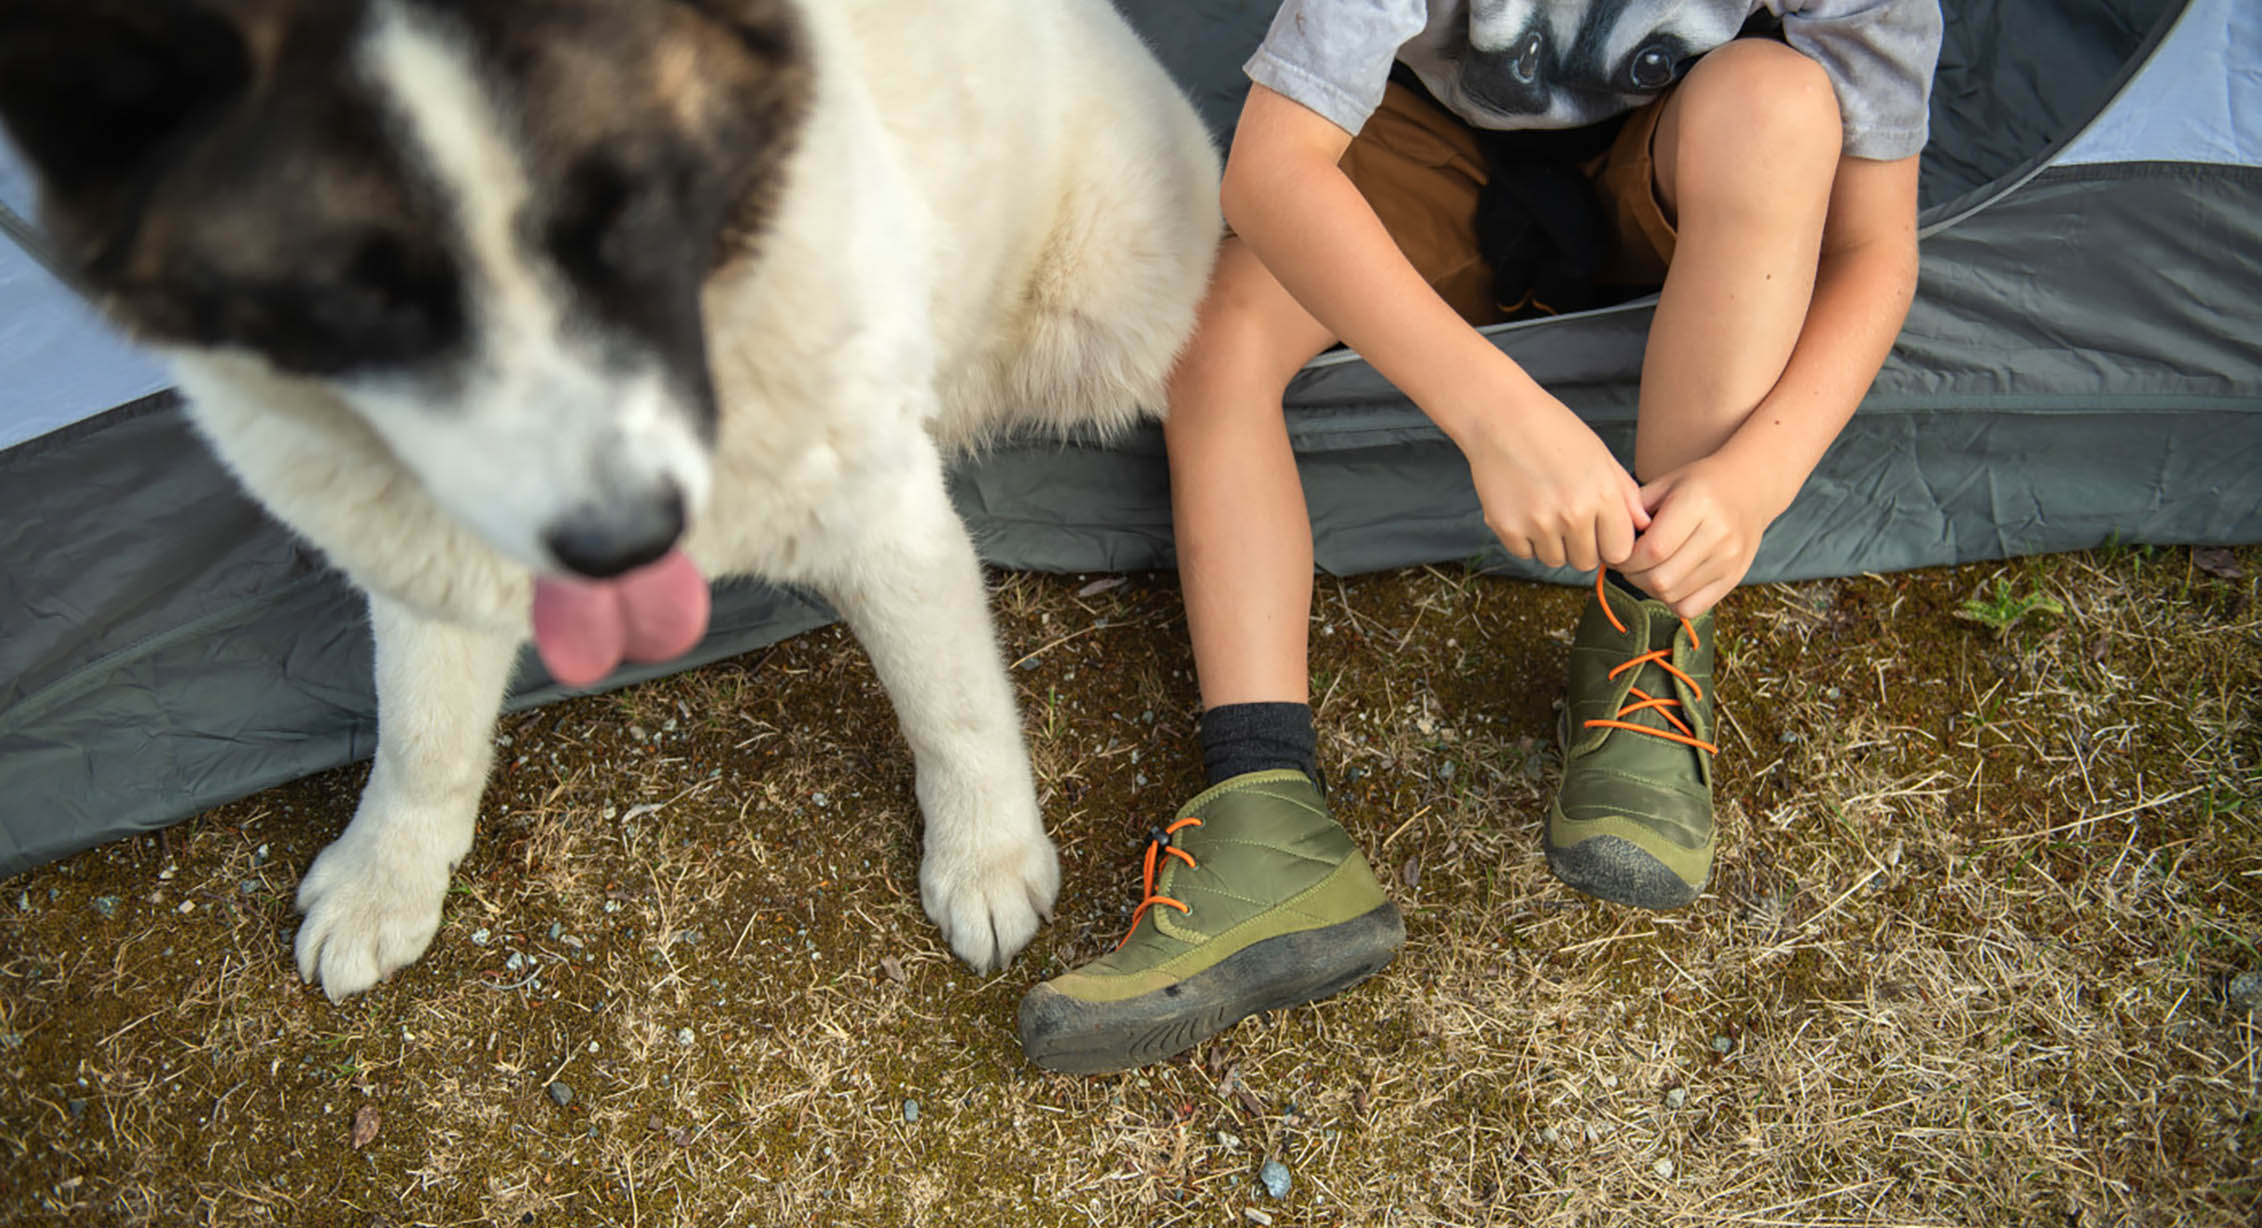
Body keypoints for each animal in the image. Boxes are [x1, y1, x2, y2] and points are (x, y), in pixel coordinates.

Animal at [0, 0, 1230, 999]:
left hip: (1097, 322)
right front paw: (385, 881)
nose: (619, 537)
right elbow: (420, 737)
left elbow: (955, 709)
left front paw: (987, 859)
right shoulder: (433, 555)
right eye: (364, 295)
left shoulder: (885, 520)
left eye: (633, 218)